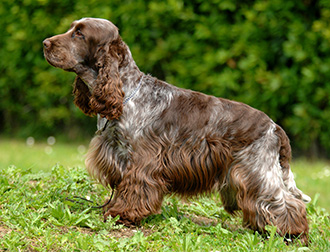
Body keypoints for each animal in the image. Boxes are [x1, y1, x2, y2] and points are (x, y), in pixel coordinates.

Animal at [43, 17, 310, 244]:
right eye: (72, 28)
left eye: (79, 33)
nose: (45, 43)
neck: (127, 94)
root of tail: (274, 127)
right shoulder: (118, 156)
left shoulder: (143, 162)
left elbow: (134, 189)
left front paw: (121, 214)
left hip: (257, 171)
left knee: (286, 203)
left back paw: (293, 235)